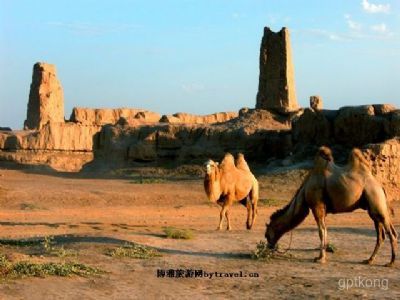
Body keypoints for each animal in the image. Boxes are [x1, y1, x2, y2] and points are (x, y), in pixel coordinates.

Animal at [266, 146, 396, 266]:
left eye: (267, 235)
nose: (269, 247)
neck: (304, 190)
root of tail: (380, 186)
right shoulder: (323, 209)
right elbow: (325, 230)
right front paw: (320, 256)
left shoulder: (317, 206)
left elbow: (321, 231)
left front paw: (321, 258)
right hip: (372, 209)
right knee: (381, 235)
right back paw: (369, 260)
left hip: (376, 199)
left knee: (391, 232)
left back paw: (391, 262)